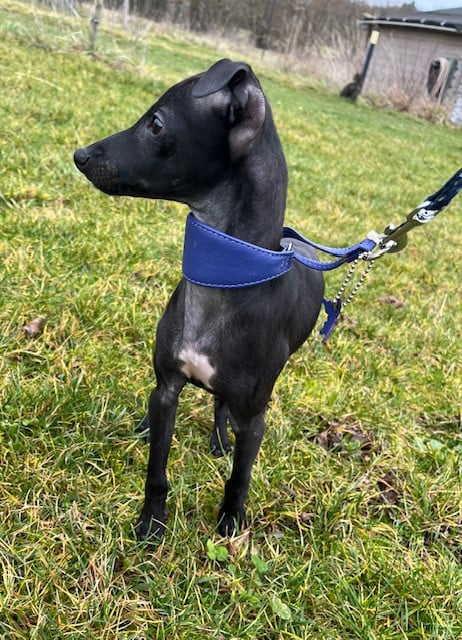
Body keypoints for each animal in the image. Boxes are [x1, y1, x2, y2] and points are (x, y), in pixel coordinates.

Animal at [74, 59, 324, 540]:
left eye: (156, 124)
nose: (80, 155)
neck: (224, 279)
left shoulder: (254, 418)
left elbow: (240, 478)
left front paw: (229, 524)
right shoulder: (168, 386)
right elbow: (156, 468)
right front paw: (151, 523)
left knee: (220, 406)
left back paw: (219, 439)